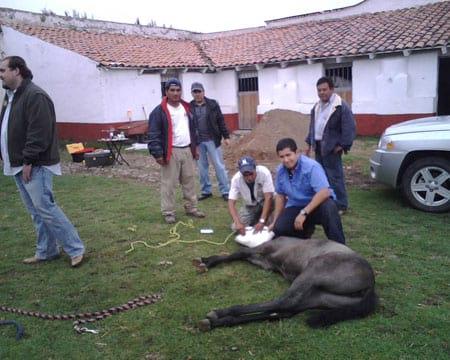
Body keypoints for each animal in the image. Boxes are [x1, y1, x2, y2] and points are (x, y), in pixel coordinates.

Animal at [192, 238, 378, 330]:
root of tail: (371, 283)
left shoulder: (262, 250)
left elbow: (239, 253)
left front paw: (207, 262)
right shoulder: (264, 262)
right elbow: (240, 255)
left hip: (312, 272)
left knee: (283, 302)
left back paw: (220, 314)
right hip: (319, 297)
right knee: (286, 310)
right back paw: (216, 323)